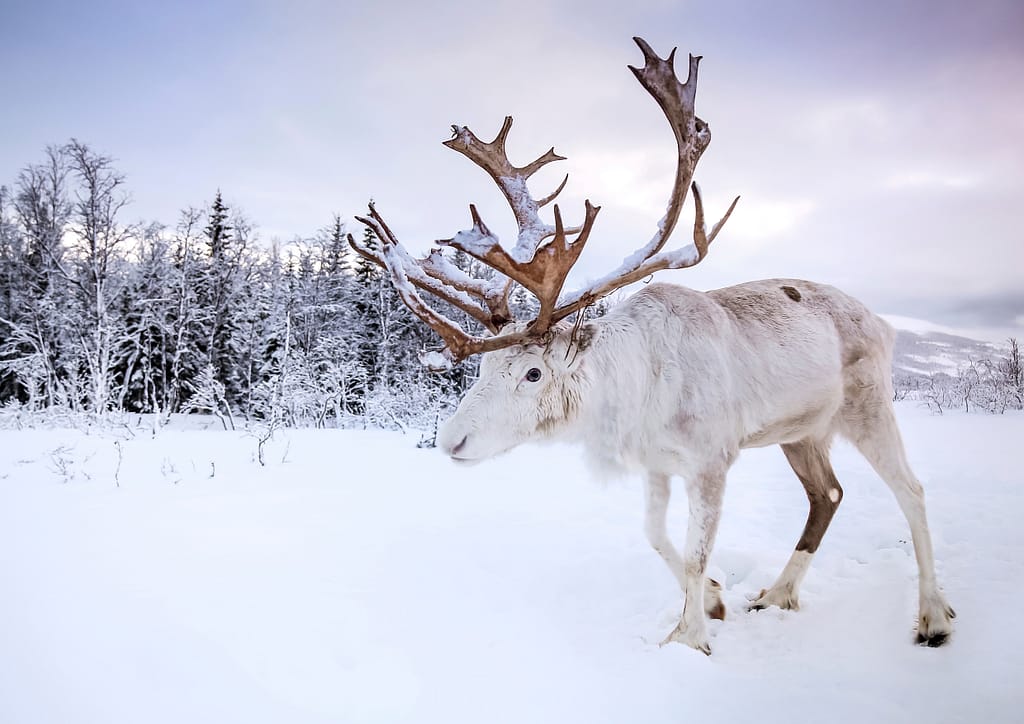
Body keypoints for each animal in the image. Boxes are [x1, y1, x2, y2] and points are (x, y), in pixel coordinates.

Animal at [349, 37, 955, 654]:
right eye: (484, 367)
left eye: (533, 373)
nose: (451, 439)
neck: (635, 392)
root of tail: (883, 323)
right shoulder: (658, 464)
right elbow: (657, 537)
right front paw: (712, 600)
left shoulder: (712, 460)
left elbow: (694, 550)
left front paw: (688, 639)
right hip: (801, 431)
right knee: (827, 495)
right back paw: (779, 593)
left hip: (869, 406)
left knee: (912, 489)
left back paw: (932, 615)